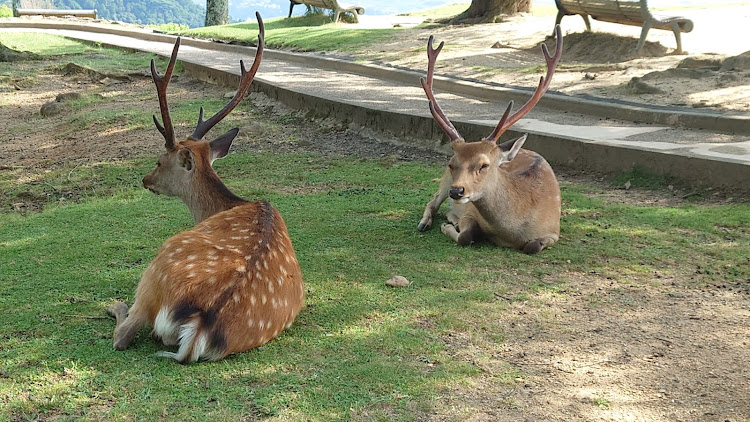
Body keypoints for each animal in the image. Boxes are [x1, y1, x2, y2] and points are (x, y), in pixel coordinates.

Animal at [106, 13, 306, 362]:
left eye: (159, 161)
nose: (145, 180)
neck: (227, 205)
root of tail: (199, 327)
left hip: (158, 266)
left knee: (125, 334)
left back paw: (115, 306)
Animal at [418, 26, 564, 256]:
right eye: (451, 163)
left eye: (484, 165)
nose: (457, 191)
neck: (512, 234)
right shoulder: (469, 209)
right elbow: (466, 236)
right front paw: (448, 226)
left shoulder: (554, 230)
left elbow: (532, 246)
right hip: (443, 183)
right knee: (433, 201)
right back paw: (428, 222)